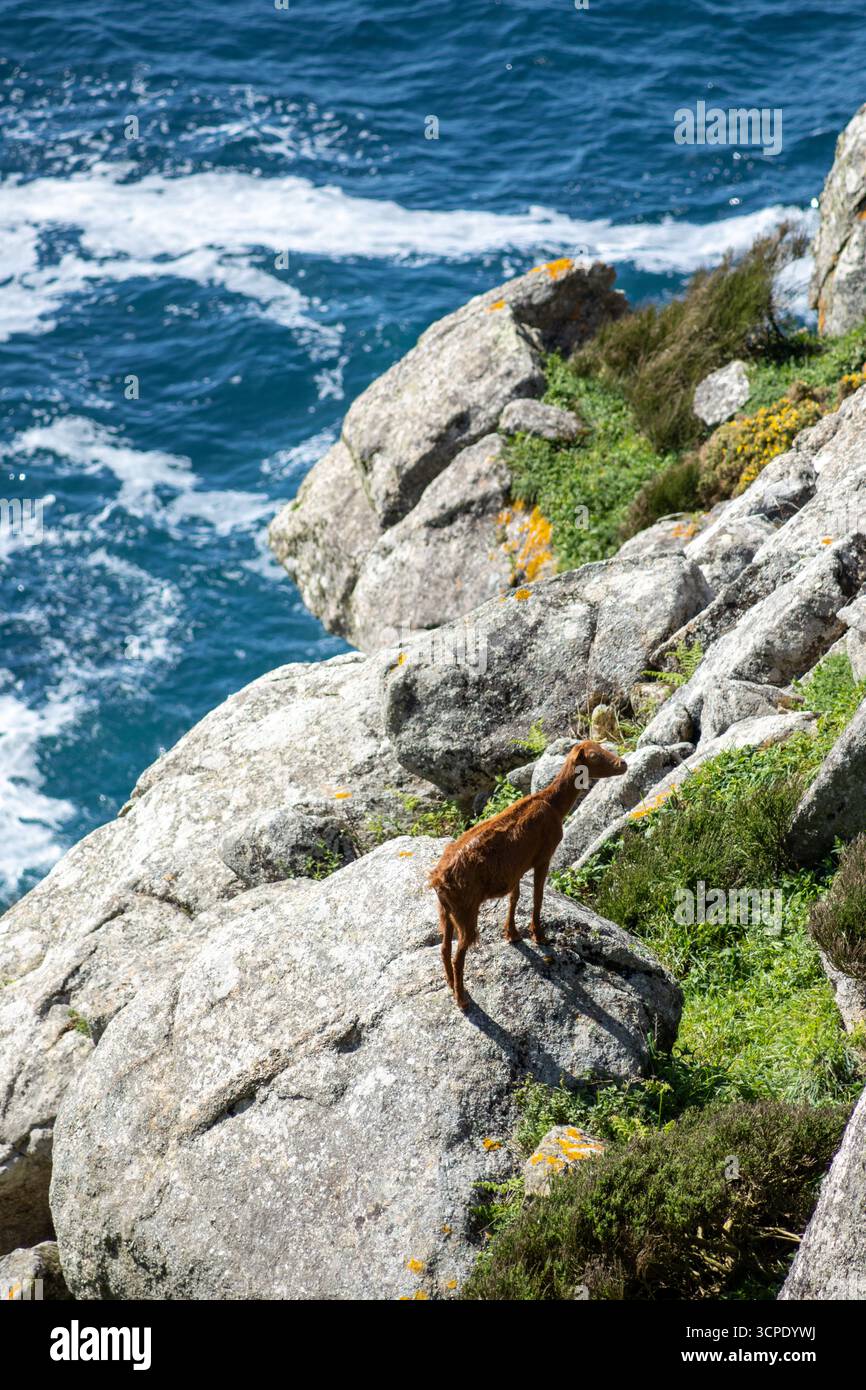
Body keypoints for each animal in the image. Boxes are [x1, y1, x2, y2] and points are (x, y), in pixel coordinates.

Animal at [429, 740, 627, 1009]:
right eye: (595, 756)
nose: (623, 763)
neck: (552, 804)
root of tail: (437, 880)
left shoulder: (515, 870)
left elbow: (515, 897)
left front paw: (512, 934)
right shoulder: (544, 855)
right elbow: (537, 896)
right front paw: (539, 936)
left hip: (445, 910)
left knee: (443, 948)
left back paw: (451, 985)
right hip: (465, 908)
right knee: (459, 953)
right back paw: (462, 999)